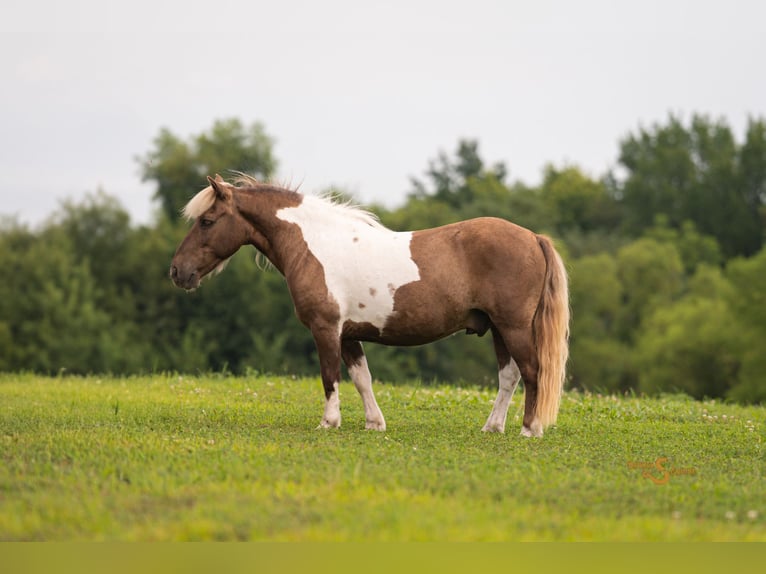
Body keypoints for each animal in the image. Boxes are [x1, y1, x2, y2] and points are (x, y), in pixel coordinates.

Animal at [170, 174, 569, 437]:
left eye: (207, 221)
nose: (177, 271)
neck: (315, 244)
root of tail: (533, 237)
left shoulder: (326, 329)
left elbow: (329, 376)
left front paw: (329, 422)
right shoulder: (349, 334)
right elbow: (362, 379)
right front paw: (374, 423)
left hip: (513, 327)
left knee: (532, 372)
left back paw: (529, 430)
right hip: (498, 328)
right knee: (509, 376)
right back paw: (493, 427)